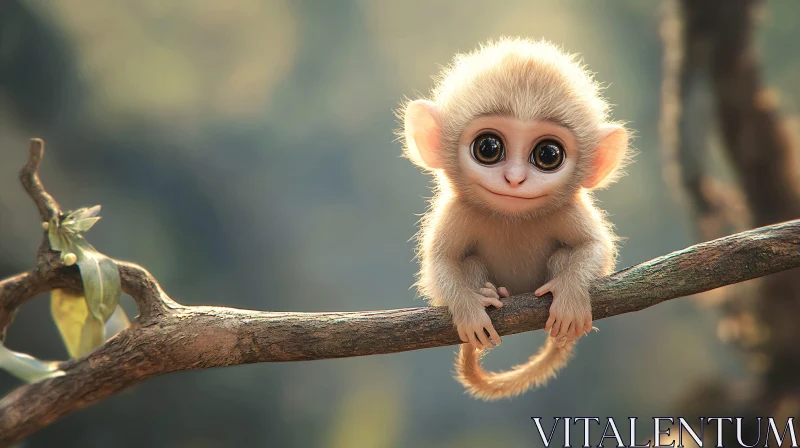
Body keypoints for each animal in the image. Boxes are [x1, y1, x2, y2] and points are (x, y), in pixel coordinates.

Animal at [400, 38, 632, 400]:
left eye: (548, 154)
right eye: (488, 147)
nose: (514, 179)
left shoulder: (568, 208)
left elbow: (594, 246)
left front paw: (569, 292)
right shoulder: (457, 210)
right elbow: (442, 261)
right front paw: (469, 309)